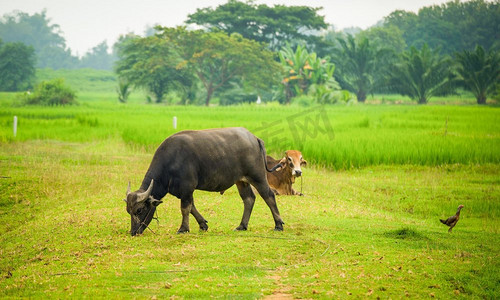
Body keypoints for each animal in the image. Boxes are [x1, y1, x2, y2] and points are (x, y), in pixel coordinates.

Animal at [123, 127, 284, 236]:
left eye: (139, 210)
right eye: (128, 211)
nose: (134, 232)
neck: (170, 162)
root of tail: (255, 138)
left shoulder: (187, 187)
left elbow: (185, 208)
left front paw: (183, 228)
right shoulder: (185, 191)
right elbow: (192, 207)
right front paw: (203, 225)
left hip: (257, 176)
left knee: (269, 196)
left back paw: (278, 225)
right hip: (241, 180)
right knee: (249, 199)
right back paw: (242, 225)